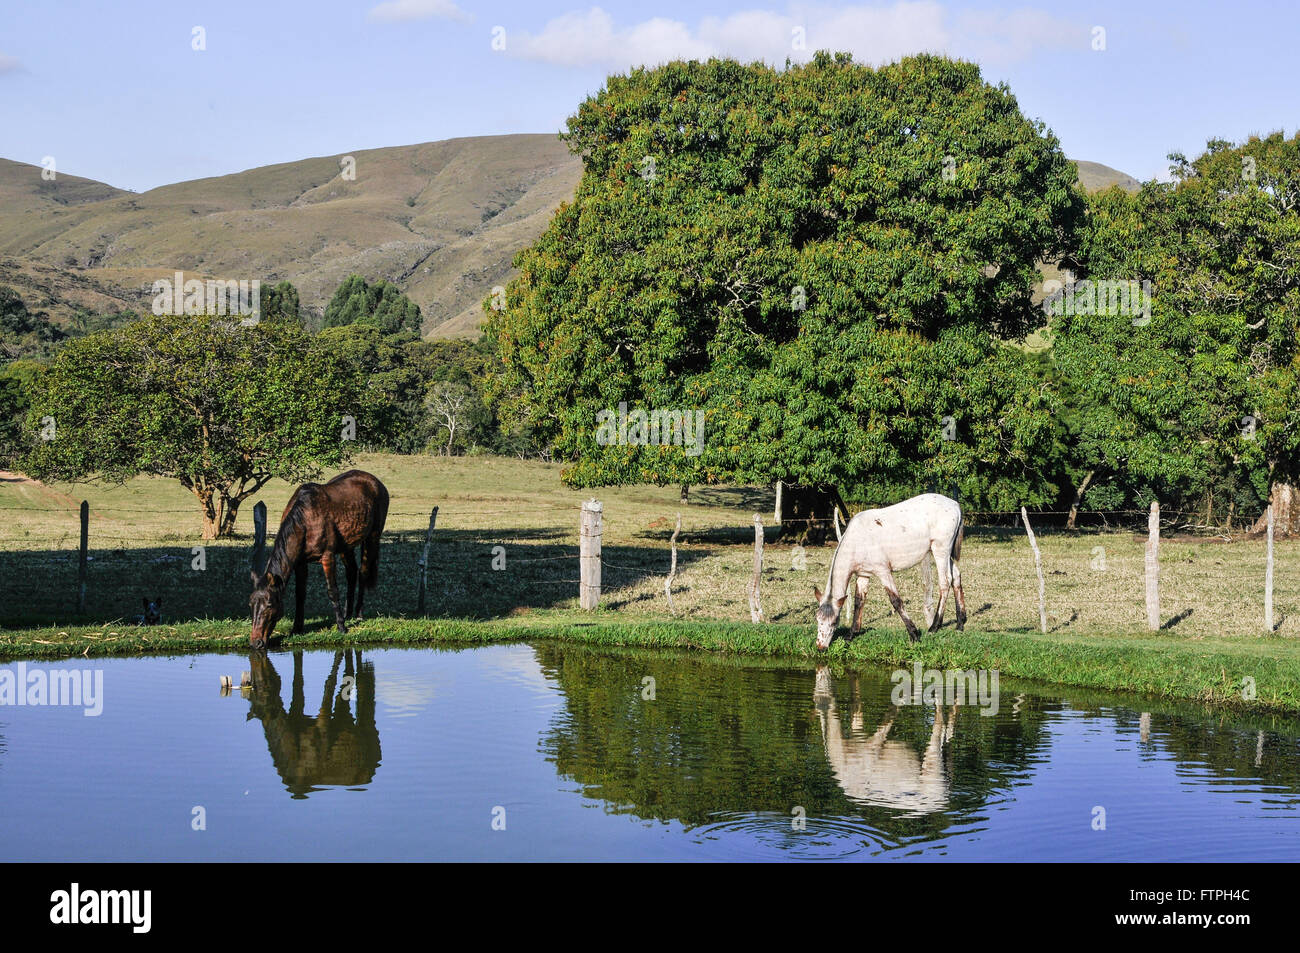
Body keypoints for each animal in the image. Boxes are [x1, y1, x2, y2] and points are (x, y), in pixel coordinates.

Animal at [249, 470, 389, 648]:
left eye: (269, 605)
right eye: (251, 604)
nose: (256, 643)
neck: (304, 520)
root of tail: (374, 481)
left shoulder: (327, 557)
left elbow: (332, 591)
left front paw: (341, 627)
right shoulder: (300, 564)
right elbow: (300, 594)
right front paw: (297, 628)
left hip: (372, 537)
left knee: (363, 572)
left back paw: (358, 613)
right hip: (346, 547)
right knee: (351, 572)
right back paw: (347, 613)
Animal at [813, 492, 965, 648]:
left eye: (834, 622)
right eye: (817, 619)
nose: (820, 647)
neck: (858, 539)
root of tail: (954, 504)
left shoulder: (884, 572)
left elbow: (896, 601)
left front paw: (914, 634)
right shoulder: (863, 575)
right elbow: (859, 601)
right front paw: (851, 635)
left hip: (940, 551)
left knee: (945, 582)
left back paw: (934, 627)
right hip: (947, 554)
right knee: (956, 577)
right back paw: (960, 624)